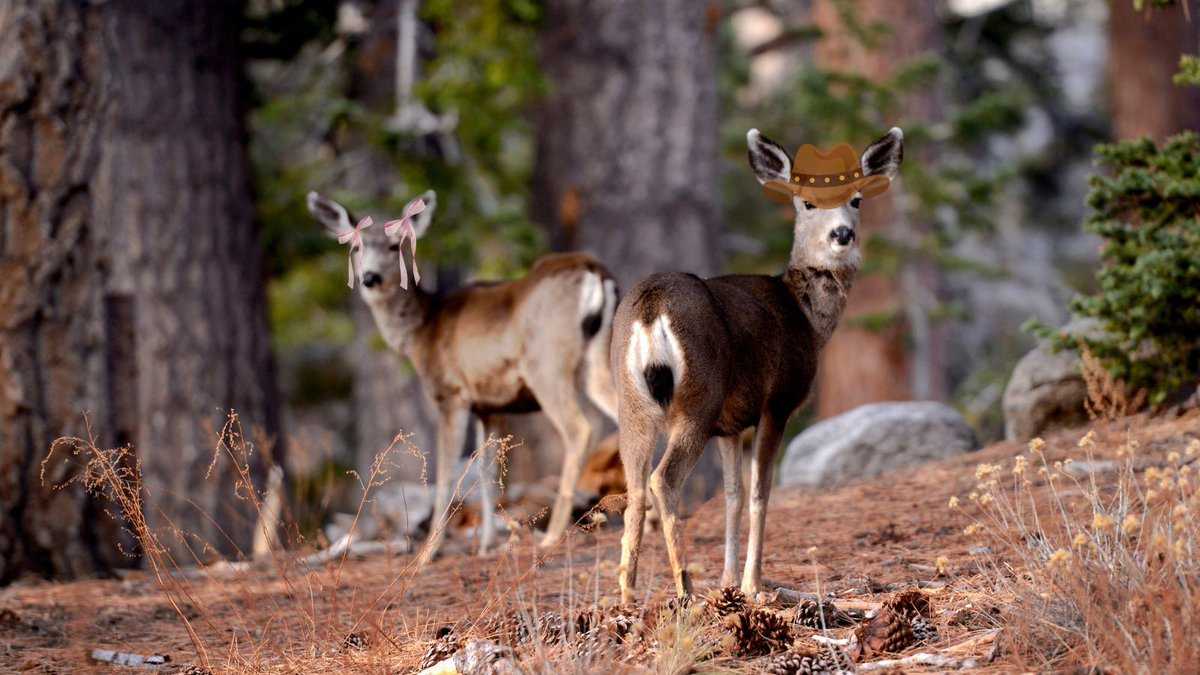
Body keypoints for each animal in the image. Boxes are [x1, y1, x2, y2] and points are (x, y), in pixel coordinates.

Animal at [307, 186, 619, 559]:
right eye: (356, 247)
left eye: (395, 246)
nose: (370, 278)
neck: (423, 330)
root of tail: (595, 270)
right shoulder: (490, 405)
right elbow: (486, 472)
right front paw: (485, 545)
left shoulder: (450, 394)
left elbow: (445, 472)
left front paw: (429, 552)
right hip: (598, 359)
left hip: (547, 362)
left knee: (579, 429)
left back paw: (553, 534)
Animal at [614, 127, 902, 598]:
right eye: (806, 202)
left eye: (857, 199)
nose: (842, 234)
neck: (806, 316)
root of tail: (652, 309)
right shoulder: (777, 402)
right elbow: (760, 492)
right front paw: (752, 583)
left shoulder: (731, 424)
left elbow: (732, 495)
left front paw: (729, 581)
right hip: (699, 398)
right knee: (663, 478)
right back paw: (684, 589)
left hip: (633, 403)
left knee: (635, 485)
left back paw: (627, 593)